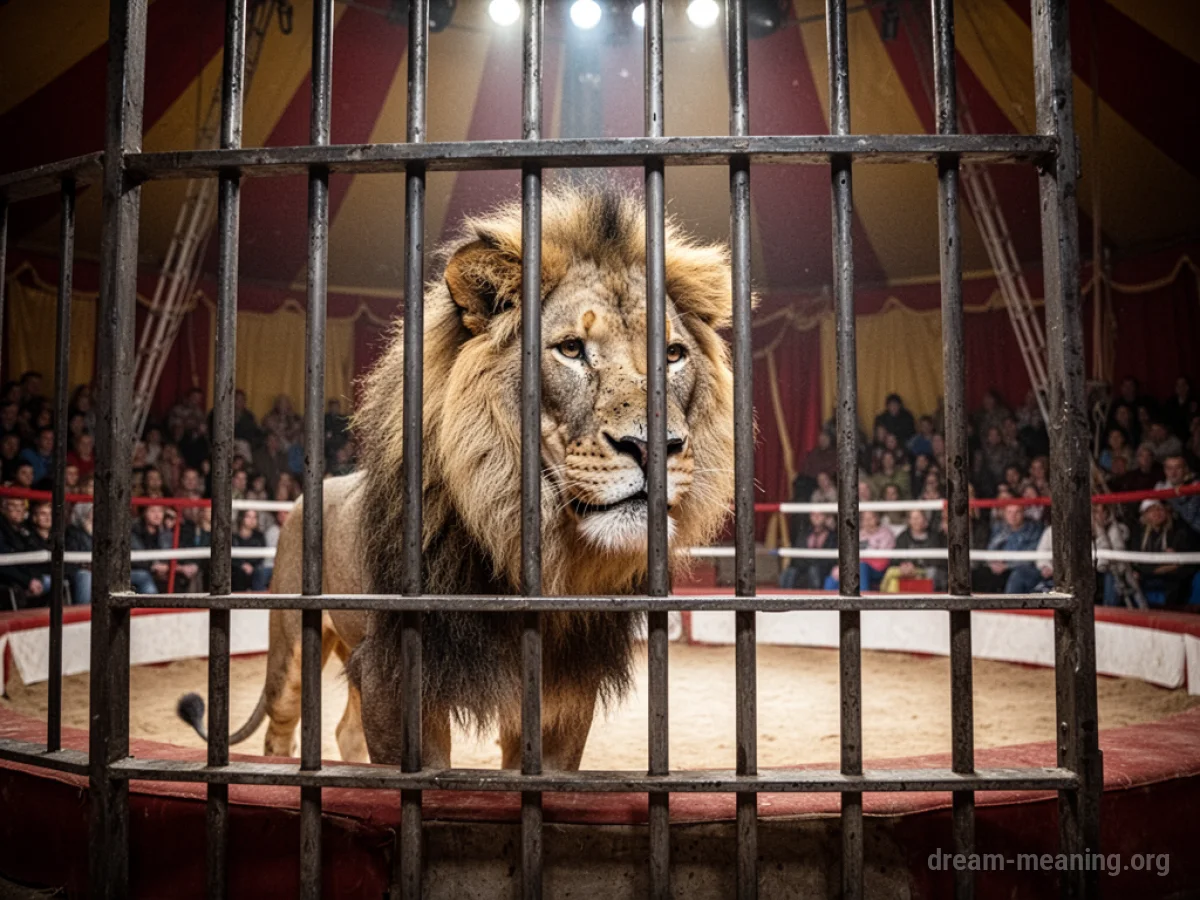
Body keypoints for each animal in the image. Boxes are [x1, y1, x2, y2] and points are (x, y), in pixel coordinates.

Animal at [179, 187, 737, 770]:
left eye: (673, 355)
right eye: (571, 349)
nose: (655, 448)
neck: (528, 550)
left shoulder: (562, 693)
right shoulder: (396, 676)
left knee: (344, 731)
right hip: (293, 643)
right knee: (281, 730)